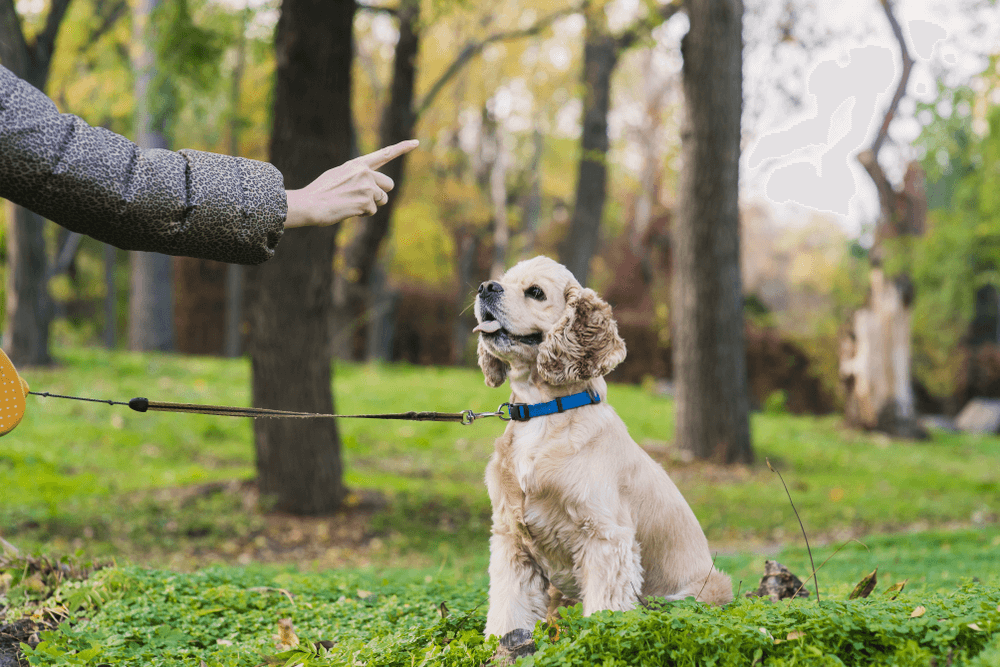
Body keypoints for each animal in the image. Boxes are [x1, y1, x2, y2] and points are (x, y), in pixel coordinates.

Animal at [472, 256, 732, 640]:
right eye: (503, 280)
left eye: (535, 292)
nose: (485, 287)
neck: (542, 412)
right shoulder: (511, 539)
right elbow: (509, 607)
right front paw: (503, 642)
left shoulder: (605, 537)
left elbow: (604, 610)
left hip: (701, 589)